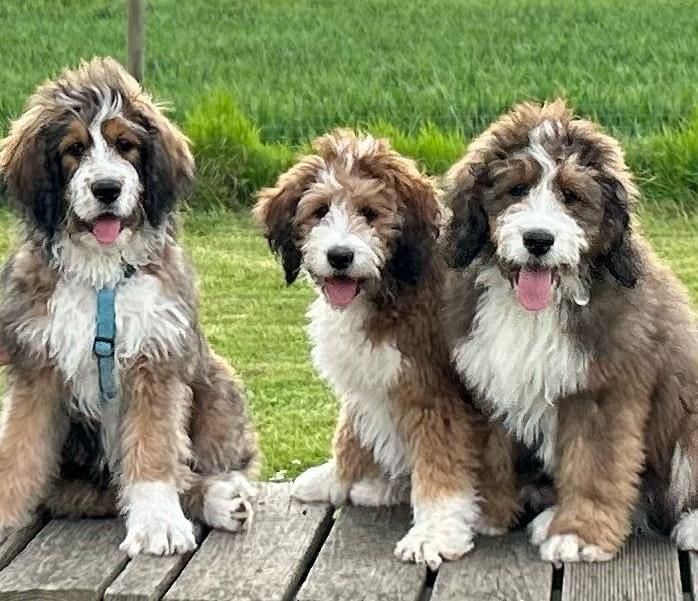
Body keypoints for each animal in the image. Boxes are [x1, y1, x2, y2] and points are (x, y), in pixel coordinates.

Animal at [0, 57, 258, 556]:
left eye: (126, 145)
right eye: (74, 149)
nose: (107, 188)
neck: (102, 279)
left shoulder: (155, 359)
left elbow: (155, 451)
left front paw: (158, 522)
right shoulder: (37, 366)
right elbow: (18, 449)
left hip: (217, 385)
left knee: (192, 469)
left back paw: (222, 495)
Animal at [254, 130, 519, 569]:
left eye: (369, 213)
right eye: (320, 211)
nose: (340, 256)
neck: (389, 288)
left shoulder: (432, 391)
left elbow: (440, 461)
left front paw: (434, 532)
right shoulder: (365, 379)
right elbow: (350, 430)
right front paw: (336, 476)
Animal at [441, 99, 698, 563]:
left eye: (571, 196)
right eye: (517, 189)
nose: (538, 240)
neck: (536, 308)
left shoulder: (601, 390)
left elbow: (594, 465)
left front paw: (580, 533)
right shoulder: (492, 378)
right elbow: (494, 449)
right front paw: (490, 511)